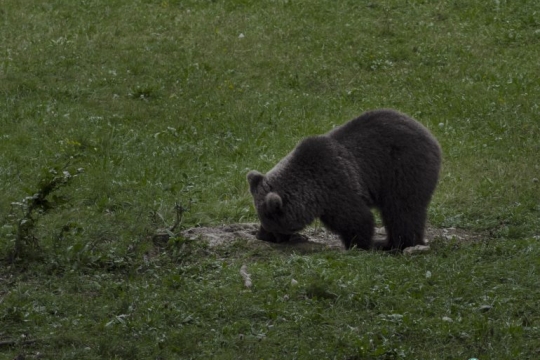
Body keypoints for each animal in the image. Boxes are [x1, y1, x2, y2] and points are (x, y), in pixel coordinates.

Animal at [247, 108, 440, 252]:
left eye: (271, 223)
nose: (261, 235)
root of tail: (430, 135)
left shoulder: (336, 187)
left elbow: (357, 219)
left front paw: (358, 245)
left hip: (403, 168)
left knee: (402, 209)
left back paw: (396, 244)